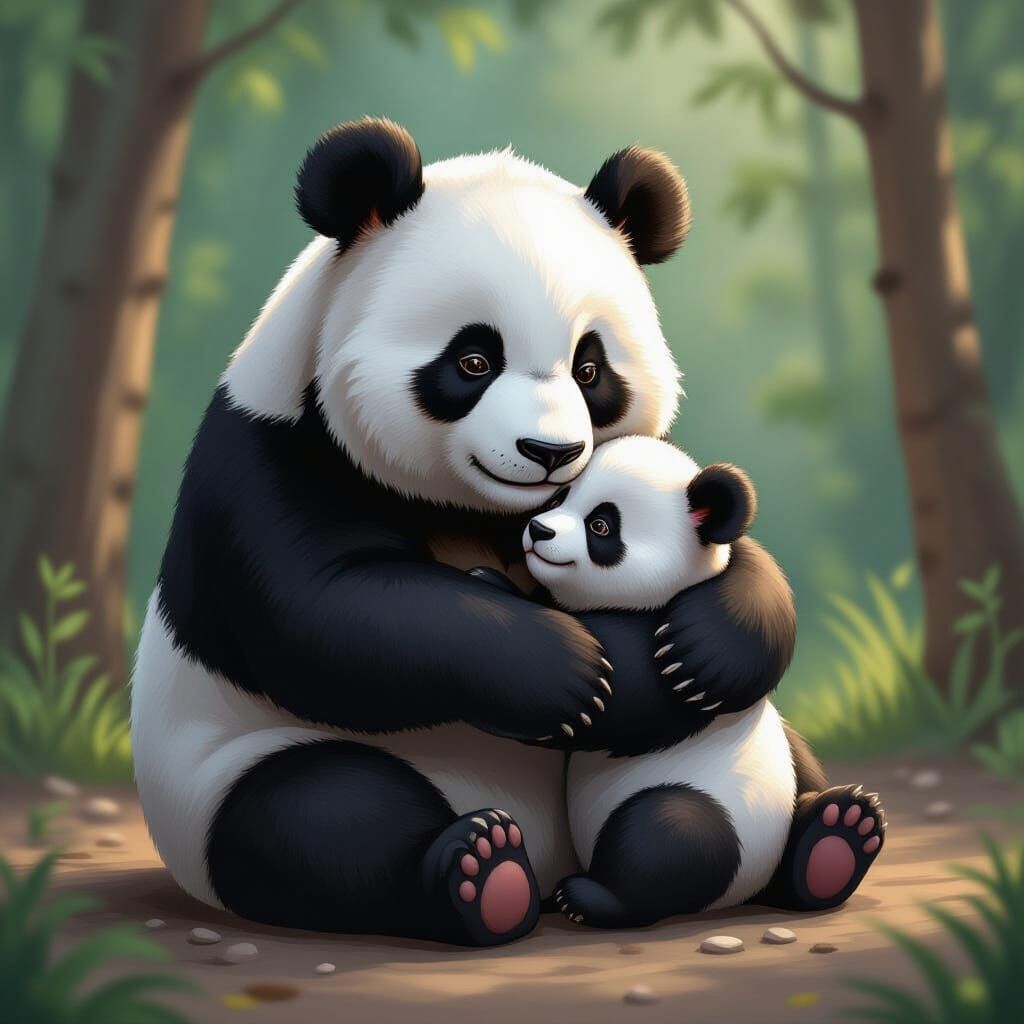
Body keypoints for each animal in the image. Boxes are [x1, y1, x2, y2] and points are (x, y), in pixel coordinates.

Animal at [131, 118, 799, 948]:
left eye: (589, 368)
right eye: (474, 358)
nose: (550, 452)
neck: (471, 510)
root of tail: (553, 859)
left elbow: (717, 532)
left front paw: (708, 649)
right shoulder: (266, 461)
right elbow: (324, 618)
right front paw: (566, 674)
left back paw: (825, 842)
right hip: (218, 773)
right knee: (315, 816)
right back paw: (480, 874)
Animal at [518, 436, 887, 927]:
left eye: (601, 525)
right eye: (558, 499)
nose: (540, 530)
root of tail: (745, 892)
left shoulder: (652, 649)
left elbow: (621, 699)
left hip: (710, 811)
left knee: (671, 833)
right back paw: (835, 841)